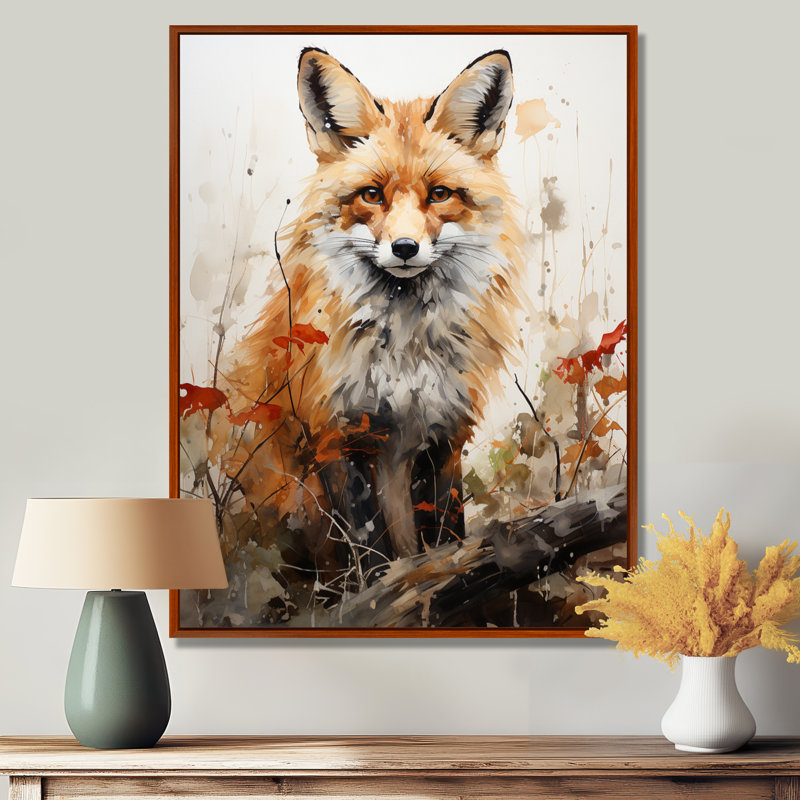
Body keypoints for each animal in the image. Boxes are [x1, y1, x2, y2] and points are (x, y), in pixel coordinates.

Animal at [227, 47, 527, 583]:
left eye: (439, 194)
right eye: (371, 195)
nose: (405, 248)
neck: (405, 351)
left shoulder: (444, 433)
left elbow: (445, 535)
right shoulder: (335, 434)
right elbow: (368, 550)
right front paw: (377, 592)